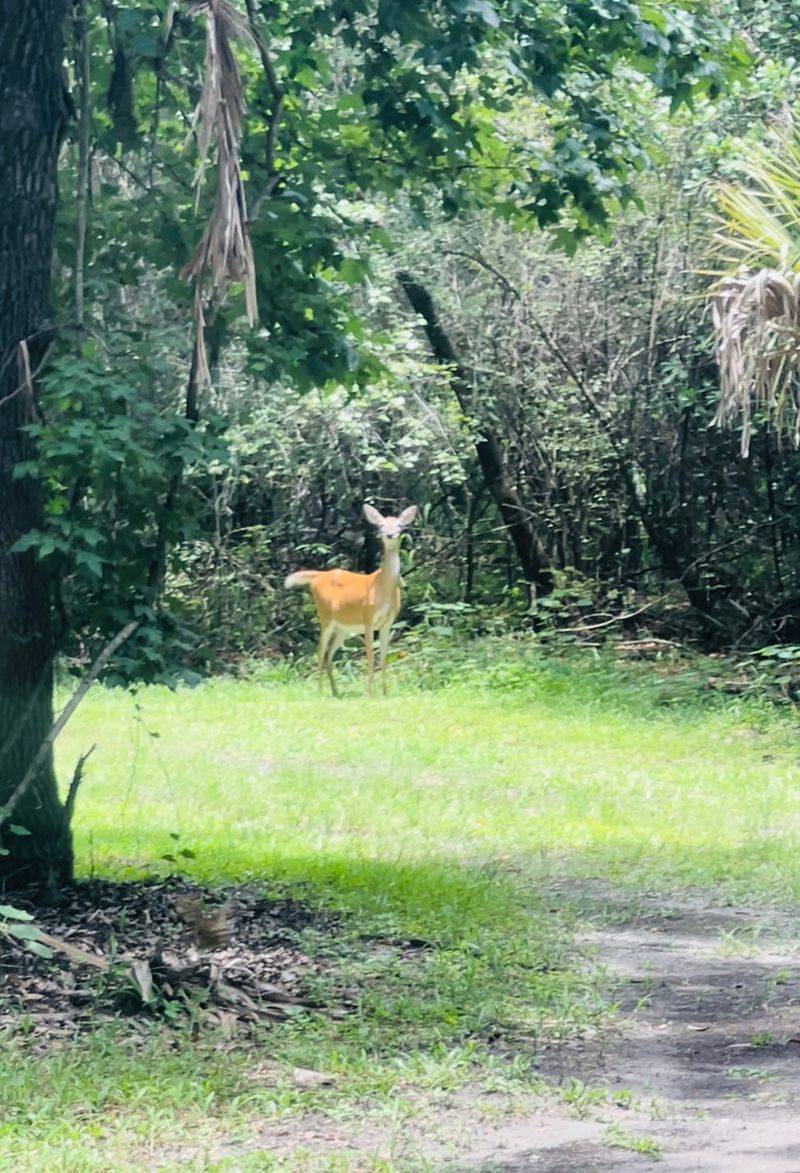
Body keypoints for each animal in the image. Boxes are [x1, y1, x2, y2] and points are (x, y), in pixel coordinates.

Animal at [285, 503, 418, 696]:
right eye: (380, 526)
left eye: (400, 525)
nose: (390, 535)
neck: (383, 587)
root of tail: (319, 576)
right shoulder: (368, 618)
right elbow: (370, 656)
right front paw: (369, 693)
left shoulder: (387, 622)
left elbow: (383, 657)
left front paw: (384, 693)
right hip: (325, 616)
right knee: (320, 651)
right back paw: (320, 691)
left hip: (343, 628)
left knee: (329, 654)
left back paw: (335, 692)